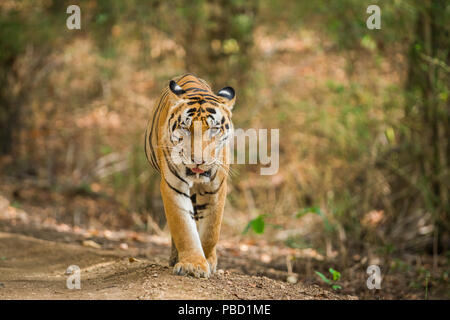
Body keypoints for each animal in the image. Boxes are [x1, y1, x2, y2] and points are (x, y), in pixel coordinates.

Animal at [144, 73, 236, 278]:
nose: (198, 161)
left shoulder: (216, 188)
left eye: (214, 129)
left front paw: (208, 261)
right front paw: (192, 265)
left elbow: (211, 230)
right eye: (185, 128)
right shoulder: (173, 186)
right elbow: (184, 227)